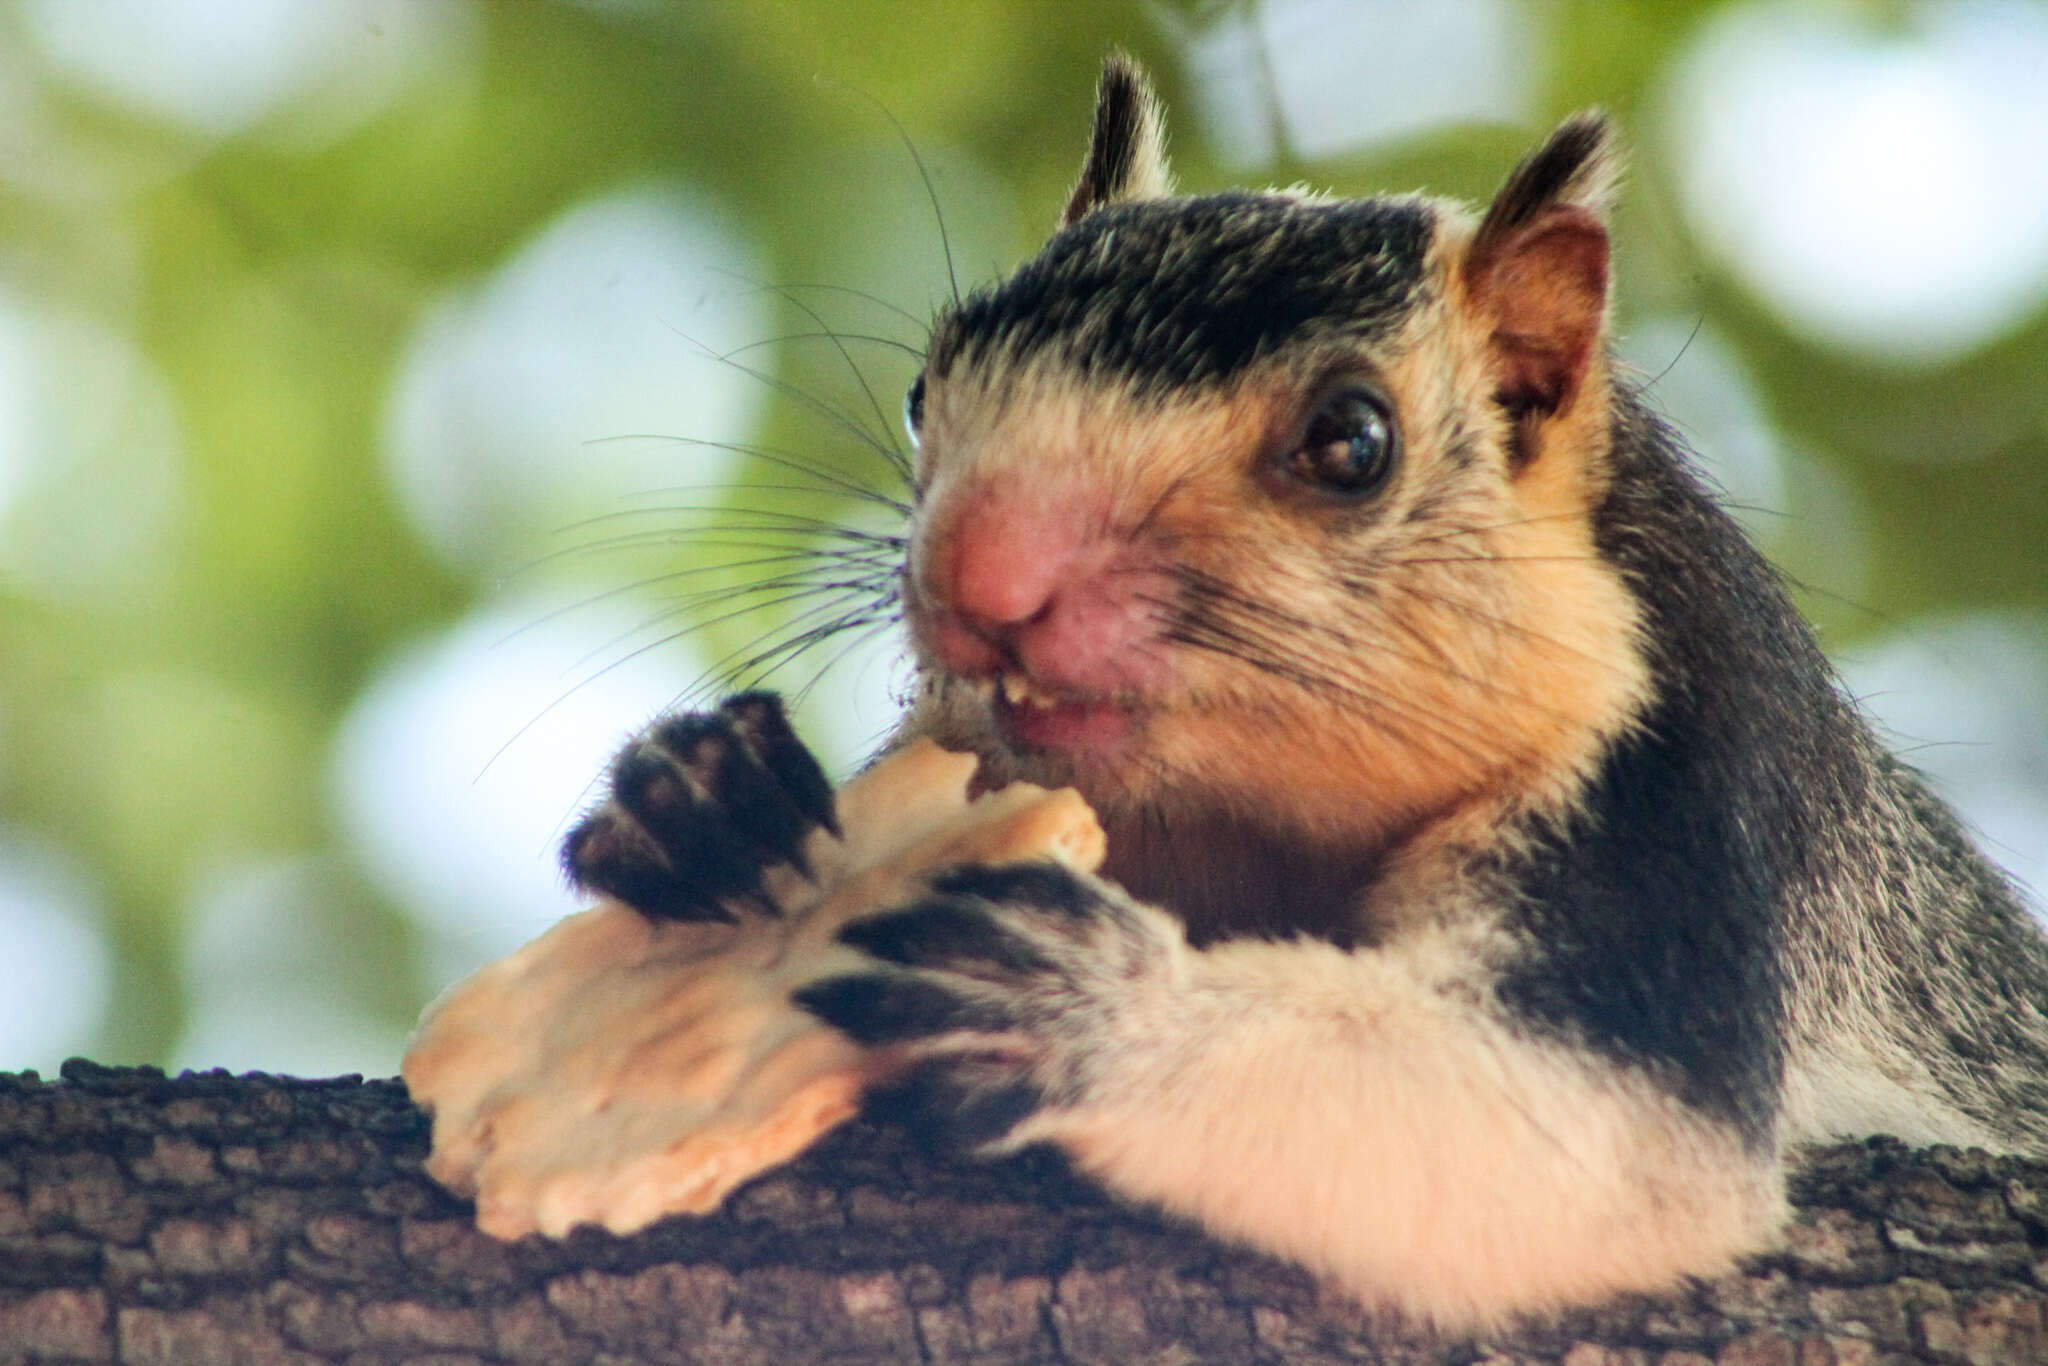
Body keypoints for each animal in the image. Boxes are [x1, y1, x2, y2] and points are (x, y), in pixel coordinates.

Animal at [552, 58, 2048, 1327]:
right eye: (926, 388)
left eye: (1351, 443)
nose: (982, 579)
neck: (1258, 824)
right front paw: (699, 798)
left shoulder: (1679, 793)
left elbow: (1588, 1132)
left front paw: (1080, 997)